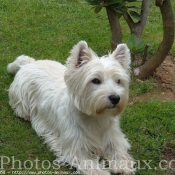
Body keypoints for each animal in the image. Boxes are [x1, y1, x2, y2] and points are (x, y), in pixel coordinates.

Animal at [6, 41, 135, 175]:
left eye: (118, 81)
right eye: (95, 80)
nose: (115, 98)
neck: (95, 118)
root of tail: (29, 63)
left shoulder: (114, 137)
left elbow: (118, 151)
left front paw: (122, 166)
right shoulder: (76, 148)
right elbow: (90, 164)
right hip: (21, 102)